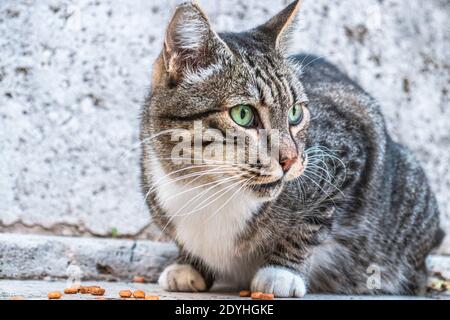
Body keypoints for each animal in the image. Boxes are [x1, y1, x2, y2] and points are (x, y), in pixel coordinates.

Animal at [141, 0, 442, 298]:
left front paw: (280, 272)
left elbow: (309, 224)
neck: (207, 188)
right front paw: (187, 264)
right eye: (242, 115)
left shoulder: (348, 153)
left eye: (295, 113)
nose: (290, 159)